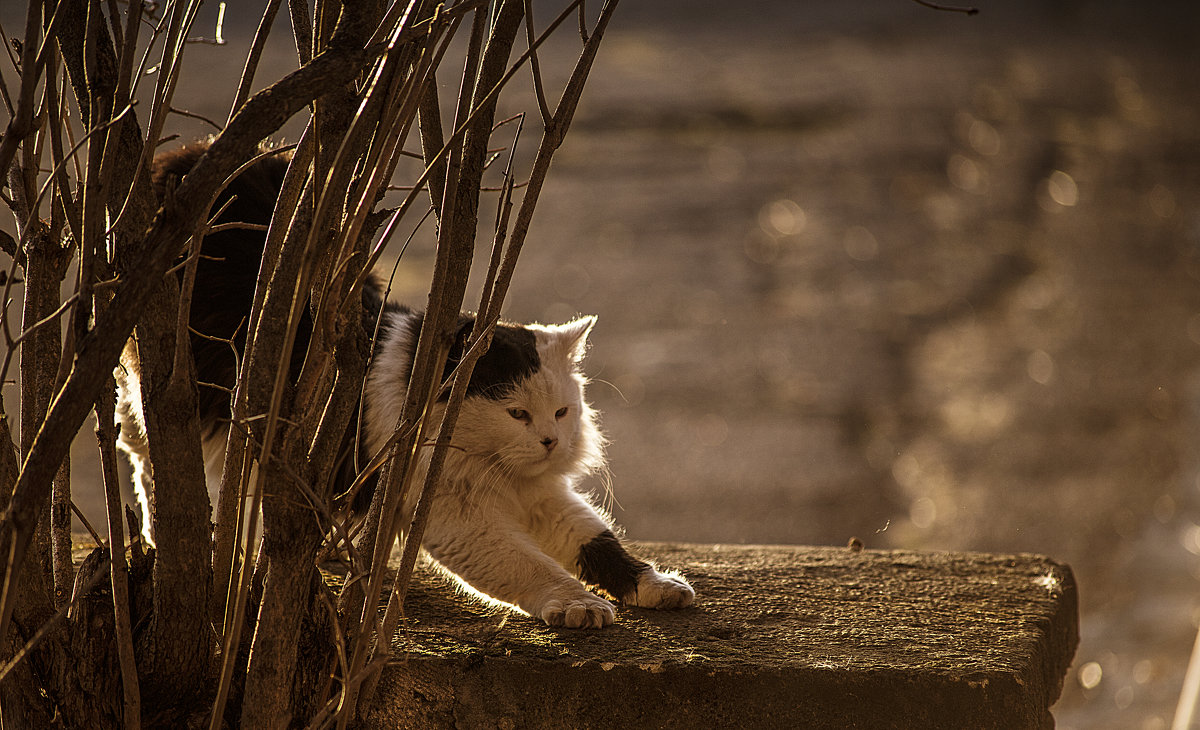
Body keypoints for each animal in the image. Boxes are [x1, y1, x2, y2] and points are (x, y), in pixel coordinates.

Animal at [114, 142, 696, 629]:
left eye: (561, 412)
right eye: (516, 414)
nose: (552, 443)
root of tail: (189, 155)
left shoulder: (543, 495)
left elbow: (599, 542)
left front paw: (656, 586)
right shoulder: (456, 515)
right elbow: (532, 567)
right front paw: (579, 605)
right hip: (155, 392)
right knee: (147, 461)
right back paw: (170, 537)